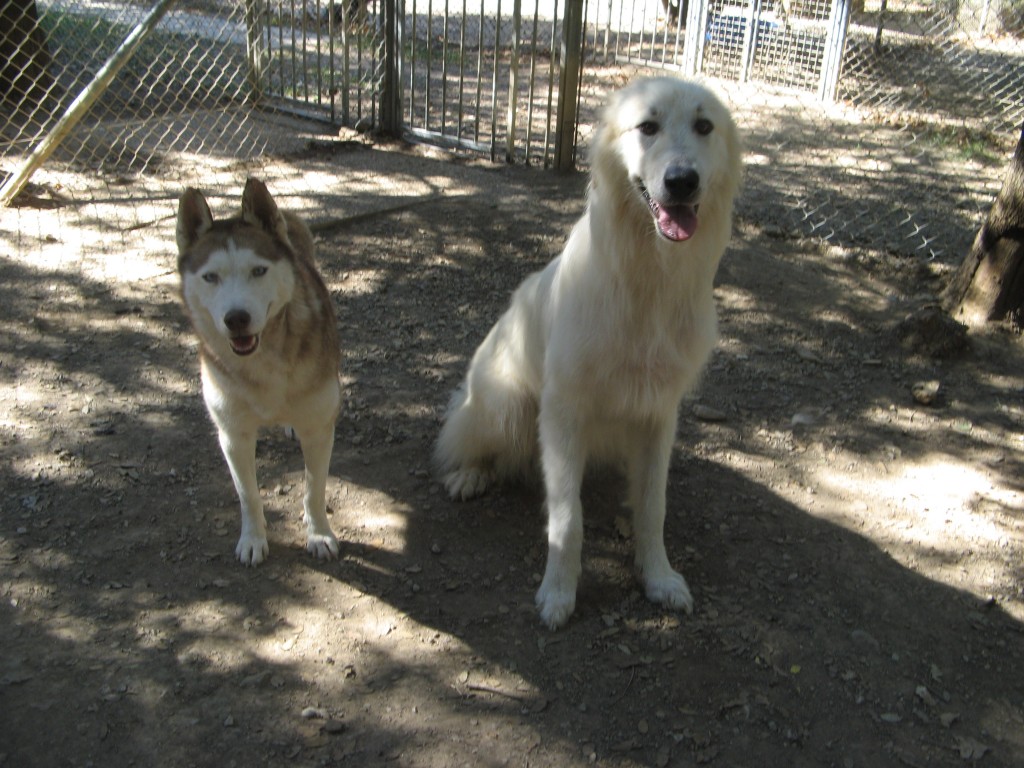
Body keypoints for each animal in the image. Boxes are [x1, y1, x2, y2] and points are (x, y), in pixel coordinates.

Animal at [178, 179, 342, 565]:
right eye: (210, 277)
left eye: (258, 270)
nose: (236, 318)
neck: (264, 357)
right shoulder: (233, 435)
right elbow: (248, 494)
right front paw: (253, 539)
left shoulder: (319, 429)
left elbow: (314, 489)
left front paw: (319, 535)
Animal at [434, 78, 745, 630]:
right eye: (648, 126)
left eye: (704, 126)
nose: (682, 181)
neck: (650, 283)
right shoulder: (563, 414)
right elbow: (567, 519)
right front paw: (559, 593)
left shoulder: (658, 416)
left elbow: (653, 508)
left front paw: (658, 578)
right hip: (508, 407)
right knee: (465, 441)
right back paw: (469, 473)